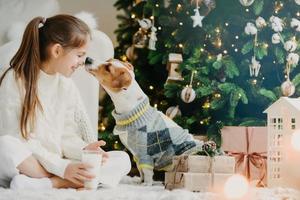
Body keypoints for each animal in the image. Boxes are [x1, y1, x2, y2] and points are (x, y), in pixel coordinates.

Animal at [84, 57, 204, 185]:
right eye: (107, 60)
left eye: (108, 68)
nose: (88, 59)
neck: (133, 111)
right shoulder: (137, 155)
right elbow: (140, 170)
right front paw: (140, 182)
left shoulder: (145, 153)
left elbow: (147, 172)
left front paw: (147, 184)